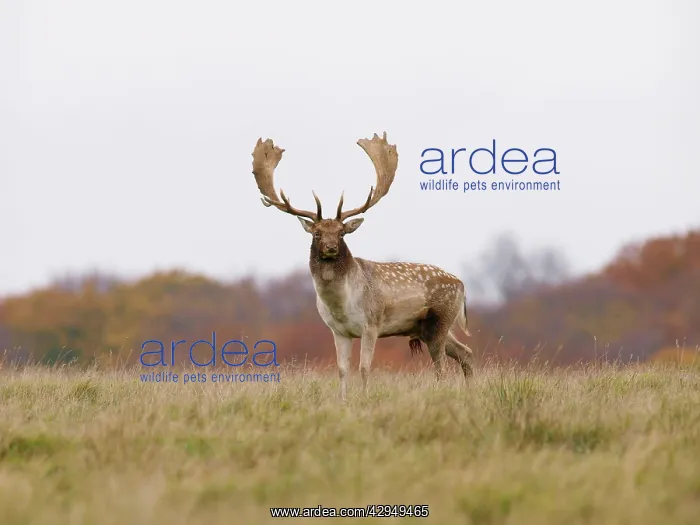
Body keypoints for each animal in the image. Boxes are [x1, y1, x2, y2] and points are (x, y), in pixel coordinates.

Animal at [250, 132, 474, 401]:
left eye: (341, 233)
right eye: (316, 233)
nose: (330, 247)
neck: (341, 305)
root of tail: (462, 285)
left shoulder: (372, 323)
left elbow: (364, 368)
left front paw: (365, 398)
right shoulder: (338, 331)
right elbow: (342, 369)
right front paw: (343, 401)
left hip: (441, 318)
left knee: (441, 363)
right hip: (426, 327)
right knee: (465, 352)